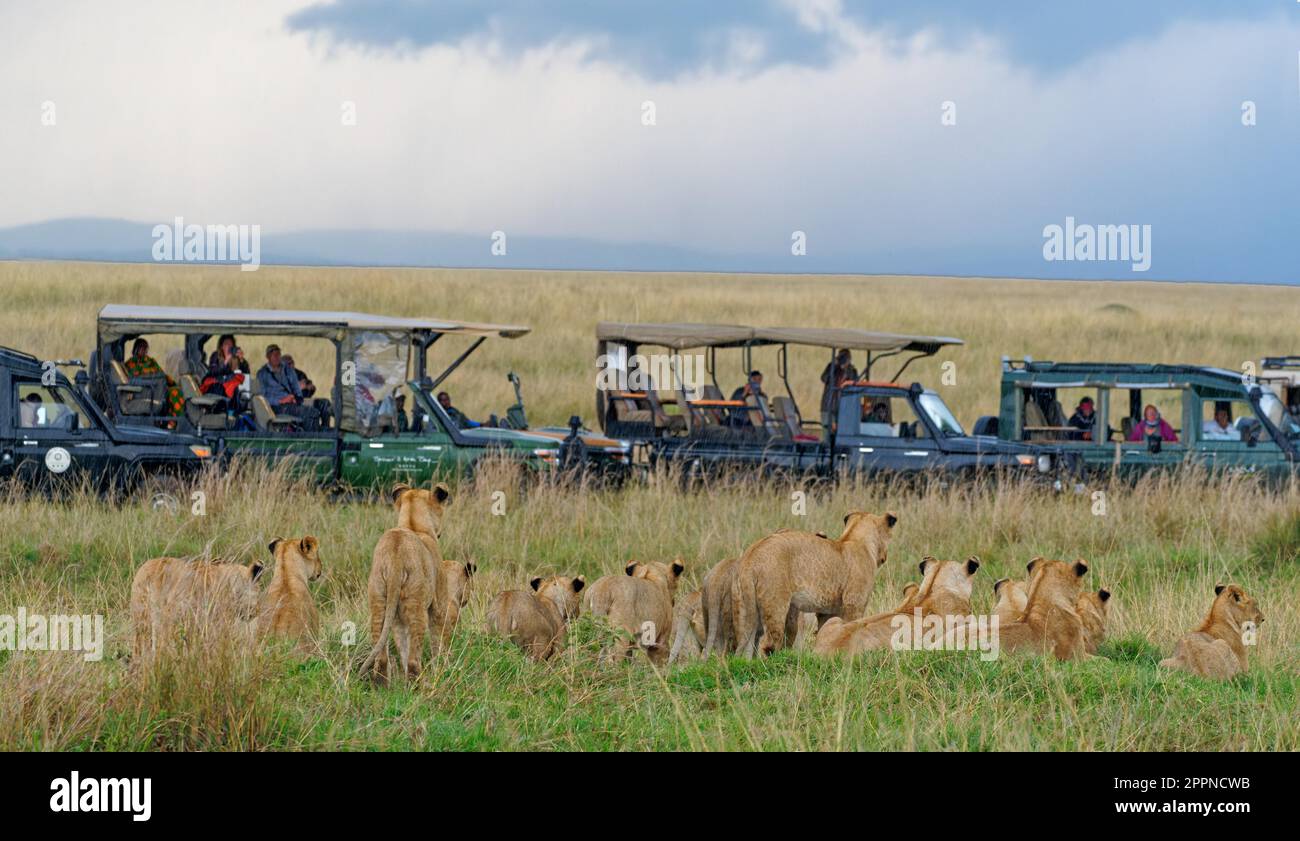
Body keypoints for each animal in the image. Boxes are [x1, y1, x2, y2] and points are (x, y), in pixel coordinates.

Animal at [130, 555, 264, 662]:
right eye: (259, 591)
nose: (257, 611)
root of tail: (150, 571)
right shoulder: (218, 620)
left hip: (141, 617)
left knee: (139, 646)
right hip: (168, 617)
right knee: (162, 645)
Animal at [359, 482, 452, 682]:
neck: (414, 526)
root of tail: (396, 555)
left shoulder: (398, 620)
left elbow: (403, 647)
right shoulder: (439, 606)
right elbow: (439, 639)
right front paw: (444, 667)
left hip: (379, 601)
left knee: (382, 658)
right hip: (417, 607)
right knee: (413, 661)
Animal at [732, 511, 896, 658]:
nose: (886, 556)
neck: (855, 540)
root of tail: (751, 556)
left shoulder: (826, 612)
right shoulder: (854, 604)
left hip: (745, 612)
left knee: (744, 648)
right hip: (776, 605)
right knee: (768, 645)